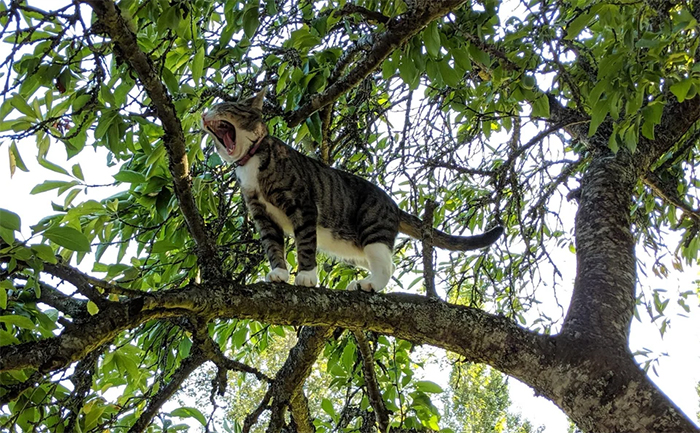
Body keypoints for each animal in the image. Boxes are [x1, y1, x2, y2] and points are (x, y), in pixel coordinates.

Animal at [202, 91, 504, 292]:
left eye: (223, 105)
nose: (204, 113)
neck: (251, 160)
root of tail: (394, 207)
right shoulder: (262, 215)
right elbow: (272, 244)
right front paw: (278, 272)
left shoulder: (303, 204)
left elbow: (305, 242)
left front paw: (307, 275)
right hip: (354, 248)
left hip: (373, 226)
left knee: (386, 265)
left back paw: (369, 284)